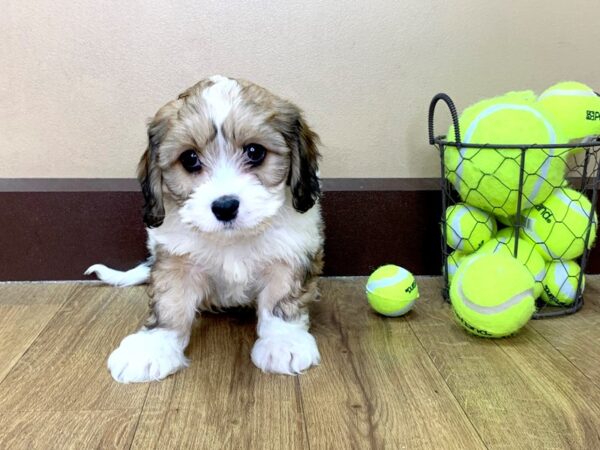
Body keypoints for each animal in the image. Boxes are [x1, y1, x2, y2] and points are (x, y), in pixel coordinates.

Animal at [84, 74, 324, 384]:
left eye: (255, 152)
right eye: (189, 159)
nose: (225, 206)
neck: (232, 240)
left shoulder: (291, 252)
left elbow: (281, 299)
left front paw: (283, 342)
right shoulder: (176, 260)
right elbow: (170, 304)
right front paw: (153, 347)